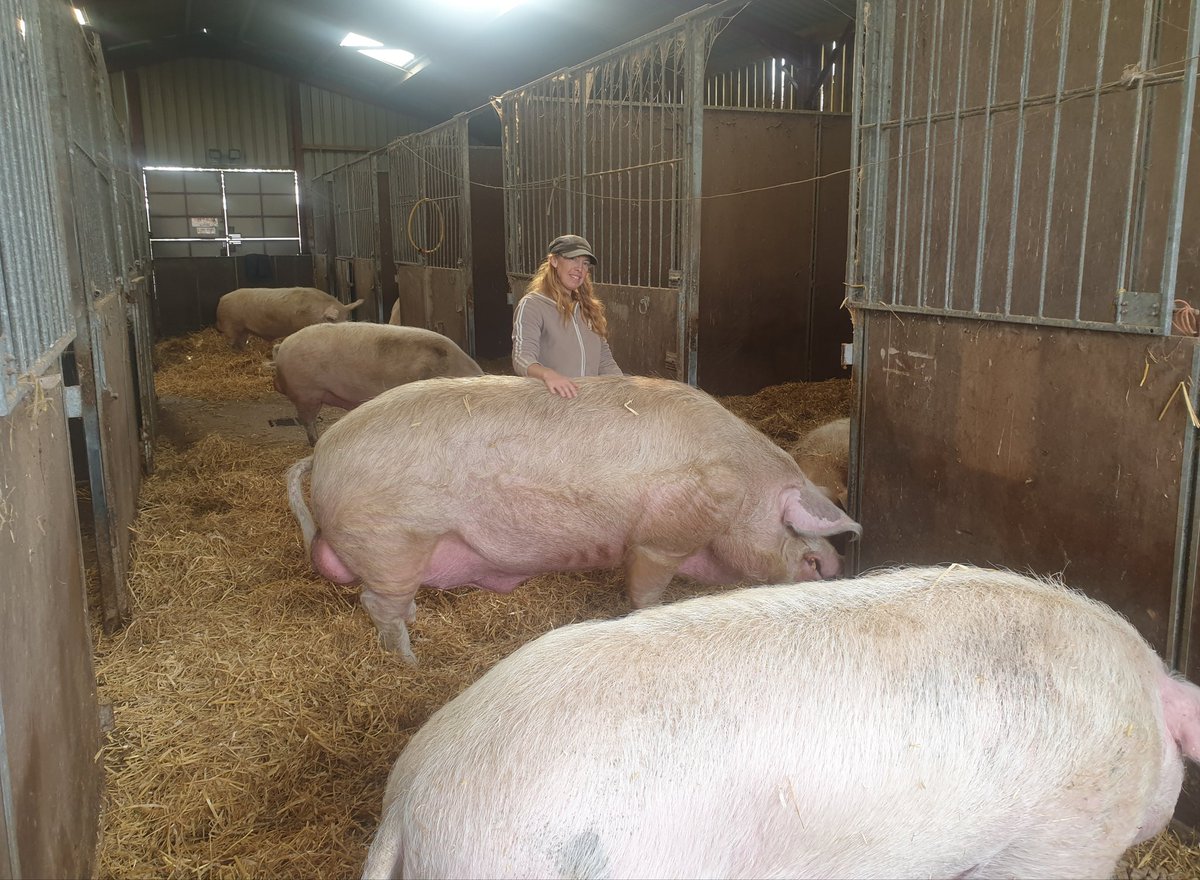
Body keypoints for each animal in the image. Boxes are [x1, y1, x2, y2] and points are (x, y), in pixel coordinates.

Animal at [214, 286, 365, 350]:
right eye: (333, 320)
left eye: (347, 317)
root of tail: (221, 299)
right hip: (231, 325)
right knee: (232, 343)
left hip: (243, 329)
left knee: (240, 341)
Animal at [286, 375, 861, 662]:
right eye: (803, 543)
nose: (835, 566)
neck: (741, 491)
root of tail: (324, 451)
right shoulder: (661, 537)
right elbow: (646, 591)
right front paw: (646, 614)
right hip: (389, 542)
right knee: (377, 605)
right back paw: (409, 662)